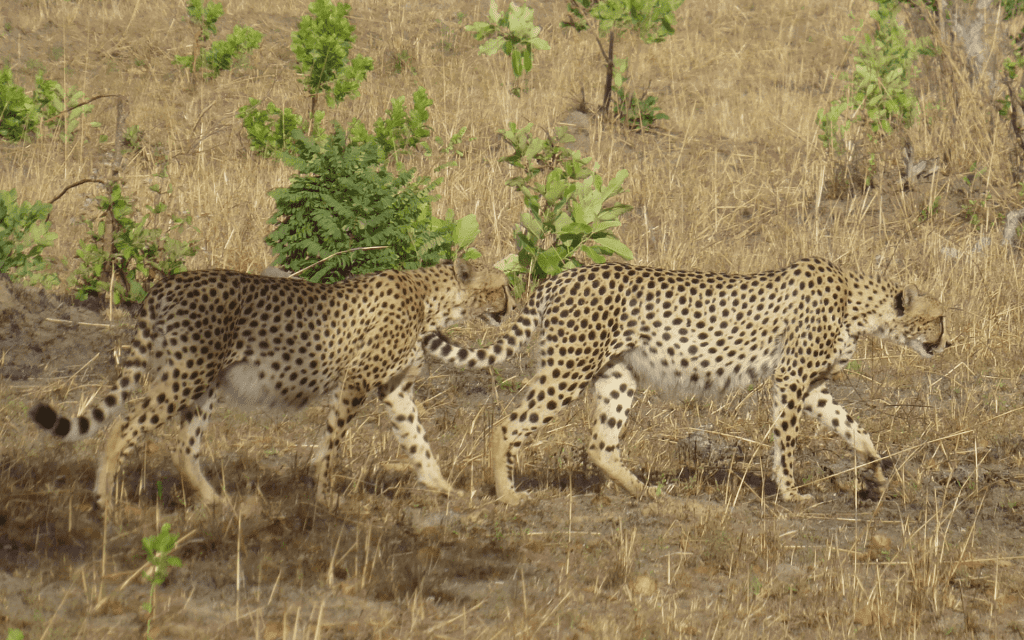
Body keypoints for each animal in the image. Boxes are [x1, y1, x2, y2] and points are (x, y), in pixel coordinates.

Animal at [30, 260, 512, 510]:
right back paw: (105, 499)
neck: (432, 299)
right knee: (126, 424)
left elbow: (418, 441)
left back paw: (217, 502)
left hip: (203, 382)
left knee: (184, 446)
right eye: (502, 287)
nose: (511, 306)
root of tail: (169, 281)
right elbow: (332, 442)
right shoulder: (356, 381)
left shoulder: (394, 389)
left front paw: (442, 486)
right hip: (186, 374)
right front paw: (324, 494)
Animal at [424, 257, 949, 506]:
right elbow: (787, 441)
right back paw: (508, 494)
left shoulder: (813, 386)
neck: (860, 305)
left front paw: (877, 472)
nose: (946, 341)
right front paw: (790, 493)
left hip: (618, 376)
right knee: (506, 424)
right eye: (938, 317)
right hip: (567, 369)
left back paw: (647, 494)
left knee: (600, 446)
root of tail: (565, 275)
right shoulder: (793, 378)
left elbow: (855, 428)